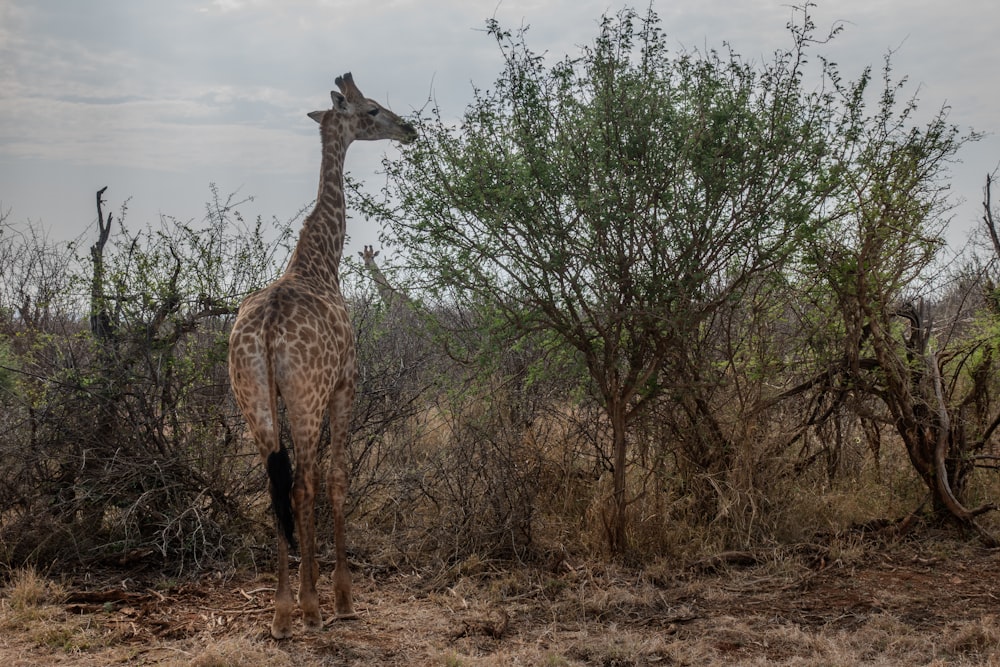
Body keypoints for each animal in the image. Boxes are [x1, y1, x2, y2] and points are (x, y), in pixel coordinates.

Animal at [227, 73, 414, 640]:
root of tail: (266, 331)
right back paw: (308, 608)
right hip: (305, 399)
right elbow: (337, 479)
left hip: (253, 401)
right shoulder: (345, 383)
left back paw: (282, 613)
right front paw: (343, 598)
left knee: (276, 486)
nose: (409, 128)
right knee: (303, 484)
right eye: (371, 109)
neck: (319, 259)